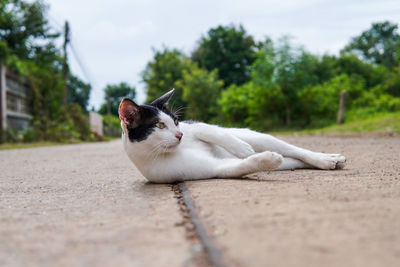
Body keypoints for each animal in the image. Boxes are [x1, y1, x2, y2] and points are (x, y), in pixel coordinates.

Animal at [118, 89, 344, 183]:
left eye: (175, 122)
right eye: (159, 125)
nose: (180, 134)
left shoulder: (197, 127)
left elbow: (214, 132)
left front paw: (241, 148)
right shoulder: (210, 169)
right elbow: (242, 165)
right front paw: (266, 159)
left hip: (258, 137)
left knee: (295, 150)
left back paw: (325, 158)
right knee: (291, 158)